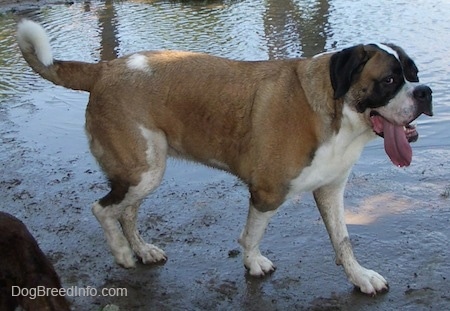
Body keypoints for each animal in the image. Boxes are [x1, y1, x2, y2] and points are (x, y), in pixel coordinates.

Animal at [16, 18, 432, 296]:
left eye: (413, 73)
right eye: (390, 80)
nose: (425, 92)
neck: (336, 108)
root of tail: (105, 68)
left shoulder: (330, 190)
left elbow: (343, 241)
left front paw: (359, 276)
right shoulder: (267, 194)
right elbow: (252, 234)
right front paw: (253, 263)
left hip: (144, 172)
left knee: (127, 212)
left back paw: (142, 250)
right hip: (142, 170)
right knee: (103, 210)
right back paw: (121, 253)